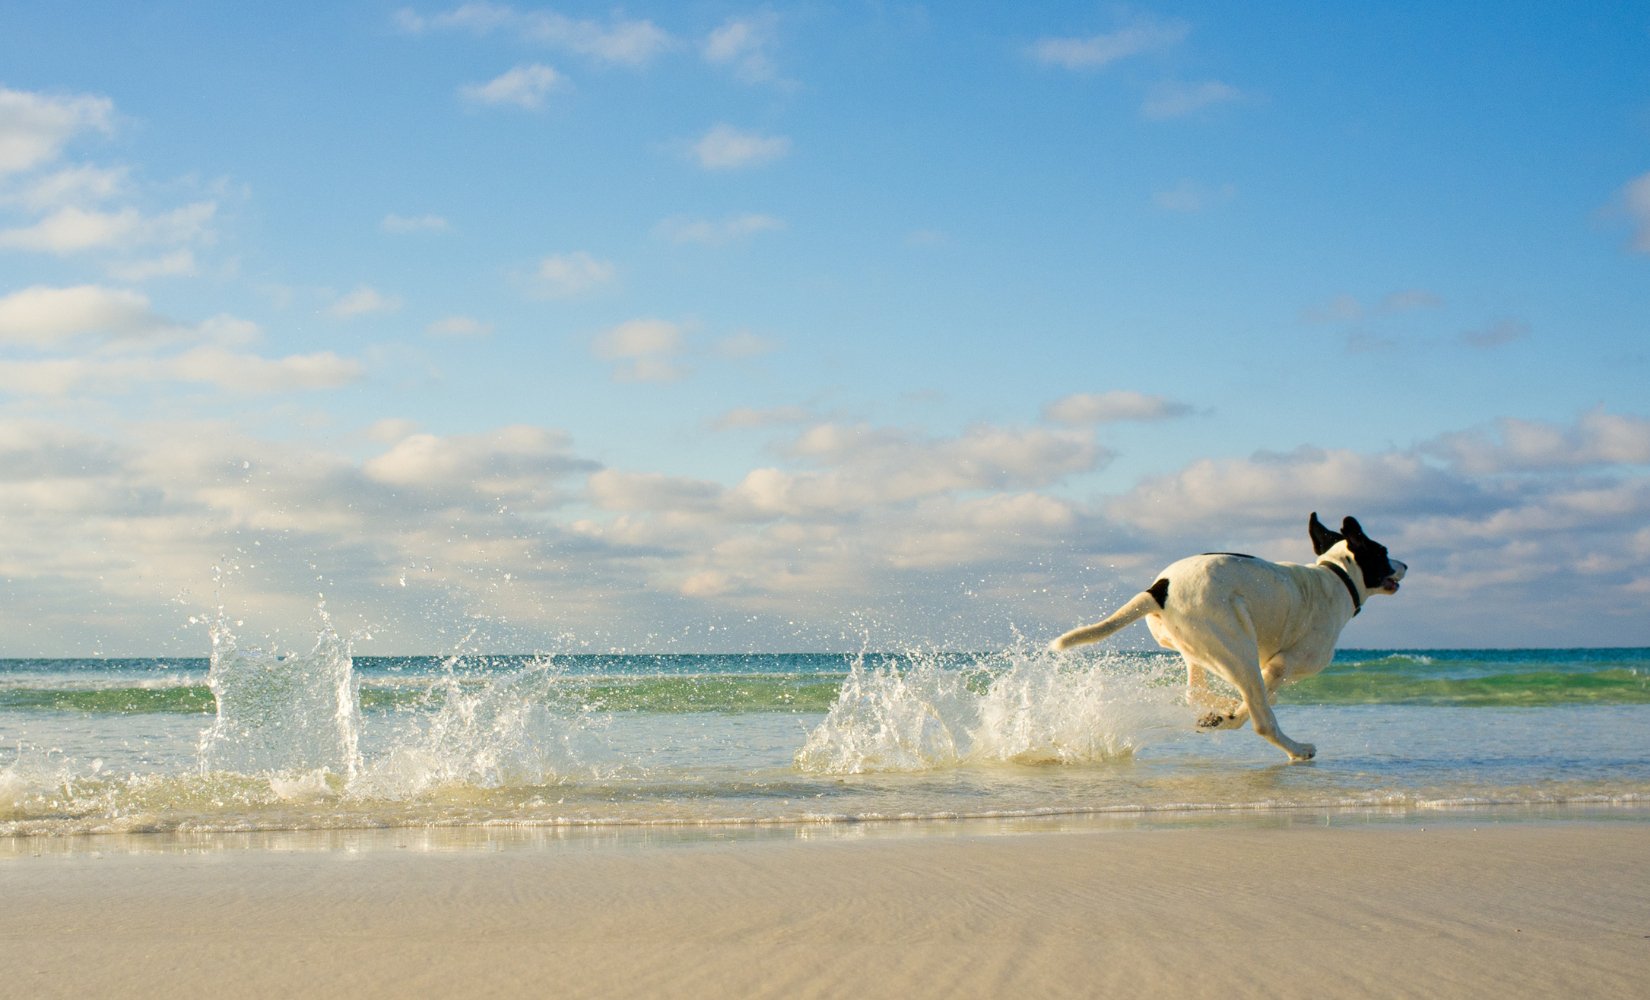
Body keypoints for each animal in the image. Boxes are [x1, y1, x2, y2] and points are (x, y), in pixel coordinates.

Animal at [1056, 514, 1405, 765]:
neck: (1337, 577)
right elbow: (1253, 707)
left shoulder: (1269, 667)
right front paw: (1230, 716)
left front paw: (1223, 713)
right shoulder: (1280, 665)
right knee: (1262, 719)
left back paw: (1219, 708)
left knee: (1196, 690)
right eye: (1383, 552)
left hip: (1200, 648)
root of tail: (1159, 588)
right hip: (1237, 648)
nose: (1404, 565)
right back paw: (1296, 749)